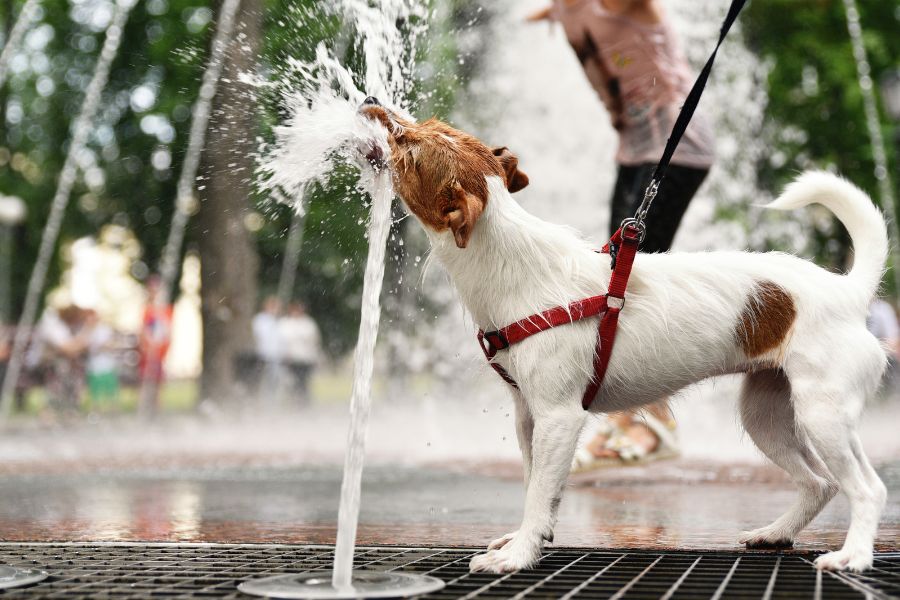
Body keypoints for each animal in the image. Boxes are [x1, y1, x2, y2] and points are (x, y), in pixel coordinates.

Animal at [356, 97, 884, 572]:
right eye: (425, 125)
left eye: (408, 147)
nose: (370, 101)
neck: (513, 261)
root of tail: (848, 291)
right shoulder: (528, 416)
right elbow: (534, 486)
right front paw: (529, 538)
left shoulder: (560, 417)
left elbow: (539, 491)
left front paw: (520, 554)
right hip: (767, 415)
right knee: (821, 483)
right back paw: (776, 533)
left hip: (822, 414)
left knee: (867, 488)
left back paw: (853, 557)